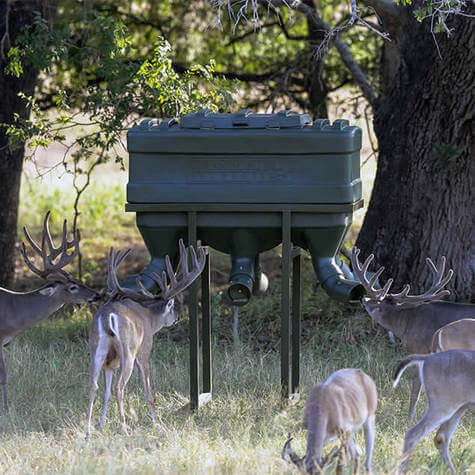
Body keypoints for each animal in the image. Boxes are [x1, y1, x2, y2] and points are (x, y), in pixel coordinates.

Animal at [0, 211, 99, 412]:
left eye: (79, 280)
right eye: (72, 287)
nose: (97, 295)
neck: (14, 309)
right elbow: (3, 375)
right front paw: (5, 409)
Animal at [87, 240, 205, 436]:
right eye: (172, 308)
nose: (177, 317)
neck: (149, 318)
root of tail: (107, 316)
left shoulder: (111, 363)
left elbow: (106, 392)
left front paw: (101, 426)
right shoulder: (145, 350)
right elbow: (148, 391)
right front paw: (158, 423)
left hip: (97, 349)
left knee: (94, 385)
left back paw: (88, 431)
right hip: (128, 350)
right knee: (119, 387)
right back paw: (124, 428)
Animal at [352, 247, 474, 422]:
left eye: (377, 302)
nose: (363, 298)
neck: (407, 323)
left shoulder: (418, 350)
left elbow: (416, 387)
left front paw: (409, 418)